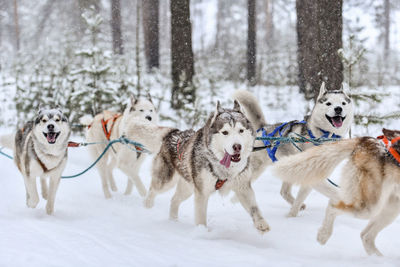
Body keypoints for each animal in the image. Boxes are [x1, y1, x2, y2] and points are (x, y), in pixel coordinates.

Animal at [142, 101, 270, 233]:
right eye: (225, 132)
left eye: (241, 130)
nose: (237, 147)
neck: (224, 168)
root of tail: (173, 133)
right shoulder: (202, 193)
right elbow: (201, 217)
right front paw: (202, 231)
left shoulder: (243, 187)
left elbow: (254, 208)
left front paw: (261, 224)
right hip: (165, 181)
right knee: (152, 191)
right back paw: (147, 207)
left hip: (187, 188)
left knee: (174, 200)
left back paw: (173, 221)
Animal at [234, 83, 354, 218]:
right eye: (328, 103)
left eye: (343, 103)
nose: (338, 108)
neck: (322, 136)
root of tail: (264, 127)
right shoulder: (312, 175)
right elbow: (335, 192)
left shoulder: (311, 176)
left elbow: (300, 198)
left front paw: (291, 216)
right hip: (256, 169)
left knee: (284, 192)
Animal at [274, 130, 400, 258]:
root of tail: (367, 140)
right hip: (369, 206)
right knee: (334, 205)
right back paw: (323, 235)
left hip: (390, 209)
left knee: (366, 236)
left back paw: (378, 259)